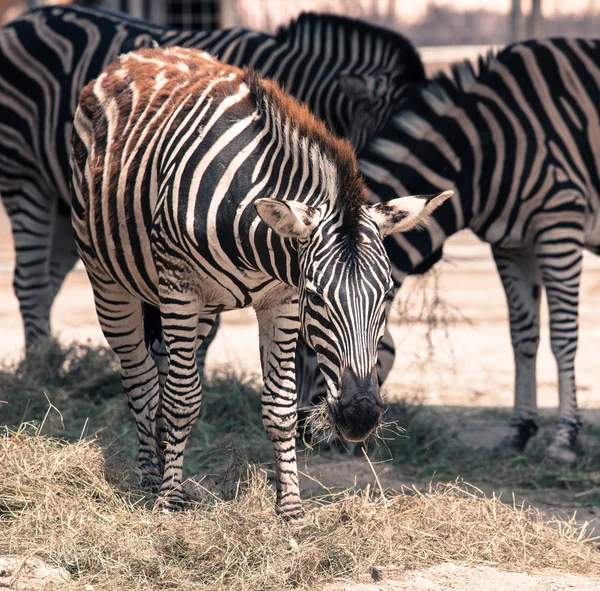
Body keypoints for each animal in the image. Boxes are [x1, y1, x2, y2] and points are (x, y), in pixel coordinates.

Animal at [0, 3, 422, 384]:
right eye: (394, 137)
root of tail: (27, 16)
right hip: (24, 177)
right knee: (30, 280)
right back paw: (39, 372)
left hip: (79, 210)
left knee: (50, 280)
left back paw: (52, 361)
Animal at [70, 47, 450, 520]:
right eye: (317, 298)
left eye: (385, 296)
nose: (359, 417)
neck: (256, 241)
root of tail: (139, 54)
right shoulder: (181, 286)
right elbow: (183, 398)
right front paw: (170, 503)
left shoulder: (280, 300)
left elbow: (279, 404)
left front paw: (290, 508)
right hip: (109, 280)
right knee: (141, 379)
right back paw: (151, 482)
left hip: (195, 312)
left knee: (163, 371)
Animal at [328, 39, 600, 464]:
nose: (319, 439)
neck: (484, 148)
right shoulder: (510, 243)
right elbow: (523, 336)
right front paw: (519, 431)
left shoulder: (560, 225)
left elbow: (563, 336)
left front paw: (564, 439)